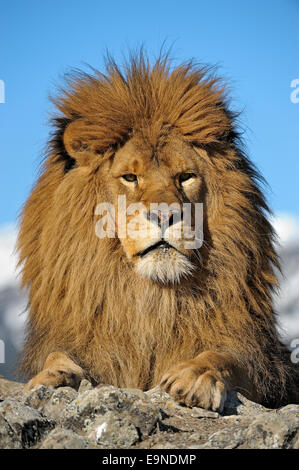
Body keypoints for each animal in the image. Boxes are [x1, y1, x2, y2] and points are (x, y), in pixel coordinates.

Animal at [17, 52, 298, 412]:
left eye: (185, 176)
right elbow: (57, 355)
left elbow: (225, 357)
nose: (165, 215)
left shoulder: (265, 365)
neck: (151, 300)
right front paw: (52, 377)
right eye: (130, 177)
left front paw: (195, 376)